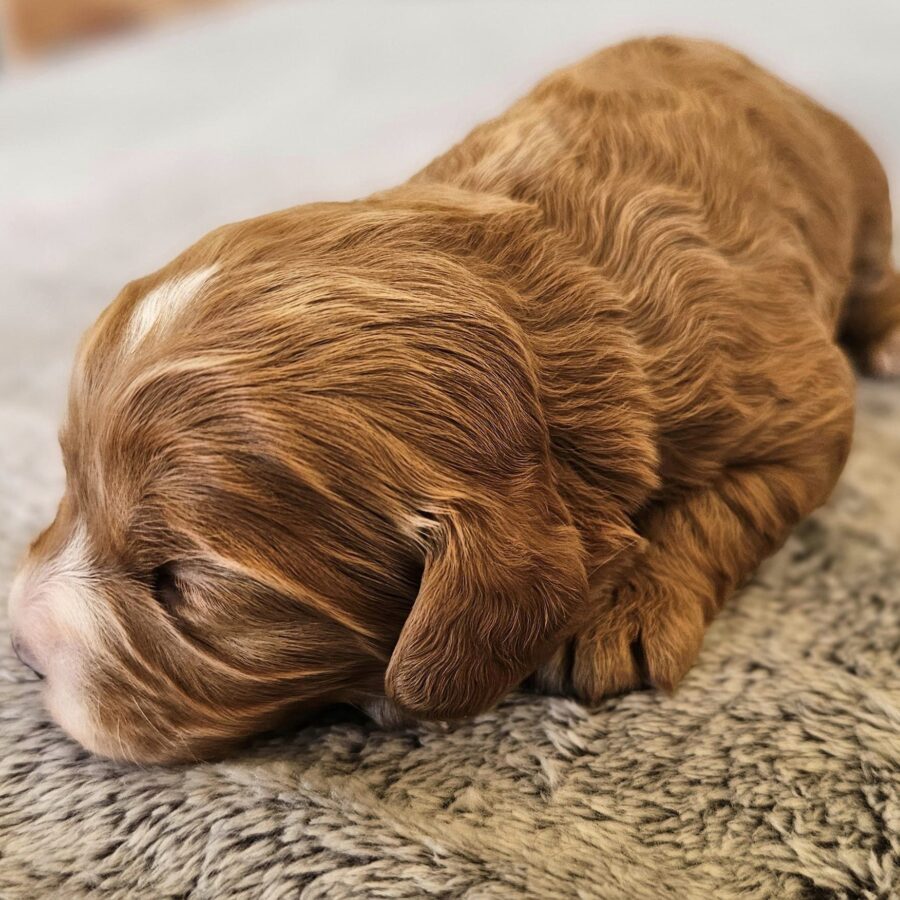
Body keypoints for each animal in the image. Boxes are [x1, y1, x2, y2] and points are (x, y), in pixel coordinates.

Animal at [8, 38, 900, 764]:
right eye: (68, 483)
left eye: (183, 585)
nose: (18, 646)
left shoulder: (798, 401)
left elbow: (730, 504)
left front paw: (624, 611)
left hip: (860, 201)